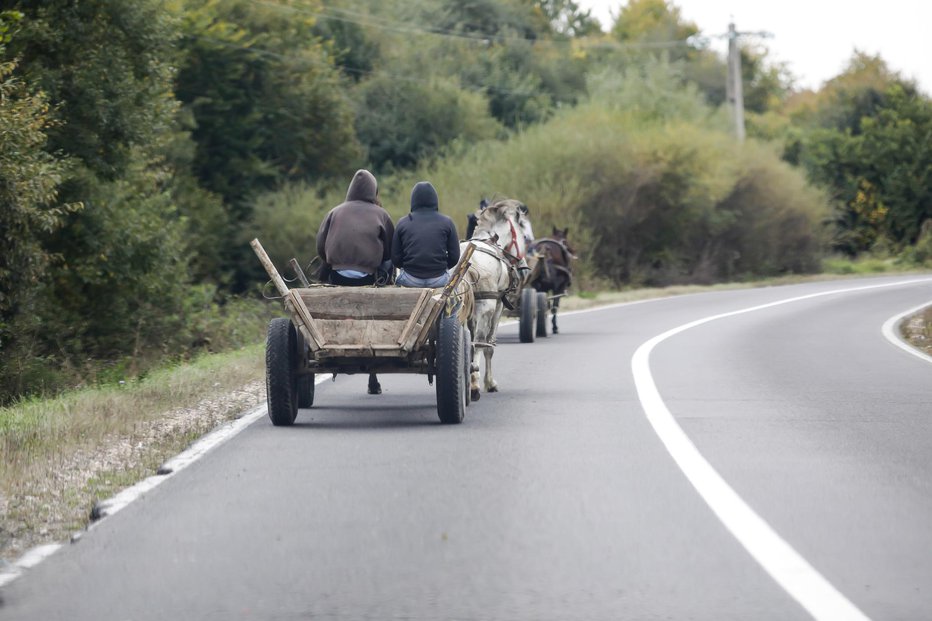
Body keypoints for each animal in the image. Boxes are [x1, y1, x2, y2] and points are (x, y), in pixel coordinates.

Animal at [460, 200, 532, 402]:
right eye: (524, 236)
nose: (525, 270)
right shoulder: (498, 305)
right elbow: (489, 346)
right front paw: (489, 383)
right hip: (487, 307)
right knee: (479, 342)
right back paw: (474, 386)